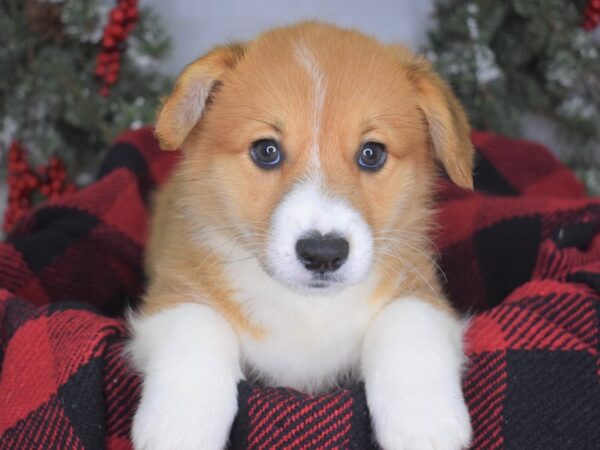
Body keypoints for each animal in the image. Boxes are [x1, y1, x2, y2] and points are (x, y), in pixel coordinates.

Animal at [130, 22, 474, 450]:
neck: (307, 309)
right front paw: (178, 425)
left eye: (372, 154)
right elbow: (195, 325)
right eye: (266, 151)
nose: (323, 253)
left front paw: (424, 422)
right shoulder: (172, 287)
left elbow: (407, 321)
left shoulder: (423, 287)